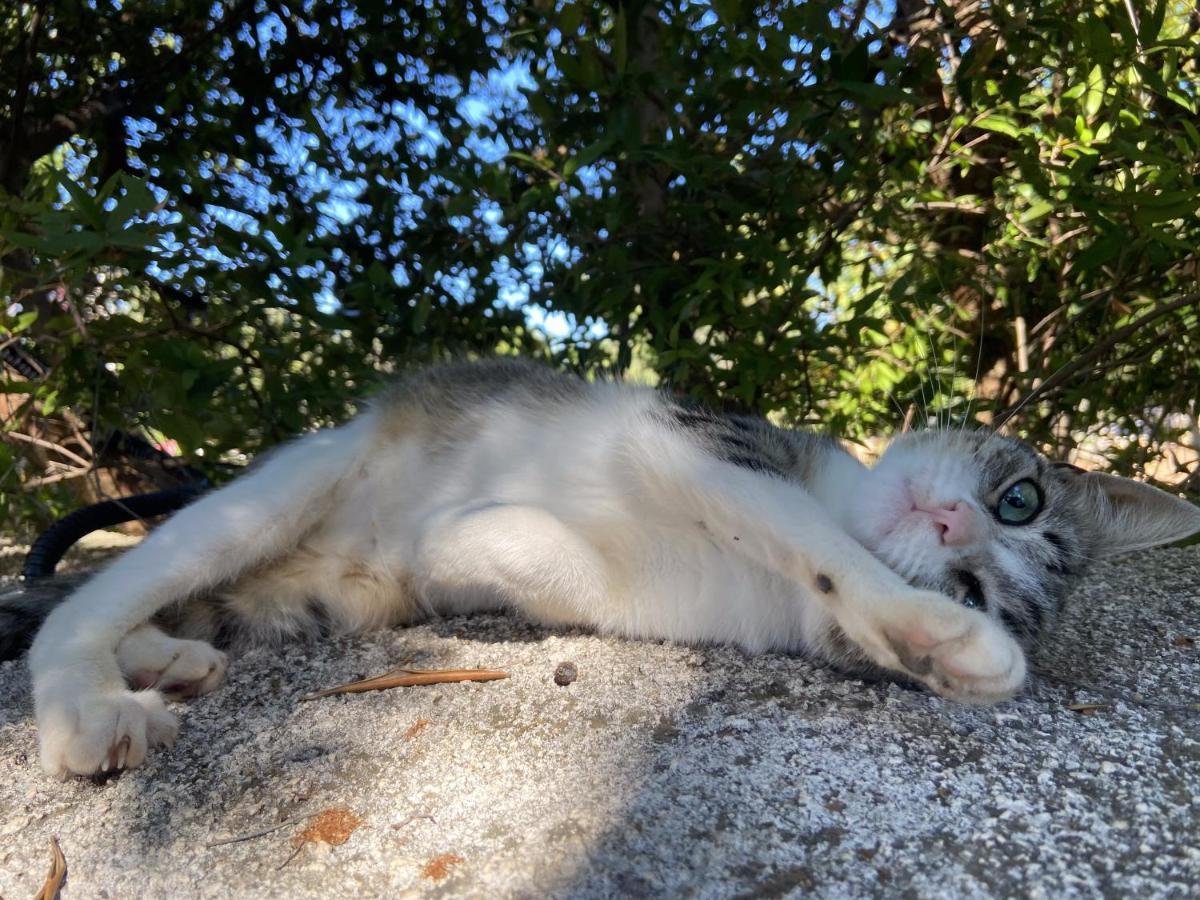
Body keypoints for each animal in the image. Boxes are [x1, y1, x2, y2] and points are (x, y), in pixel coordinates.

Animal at [11, 355, 1200, 777]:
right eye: (1020, 497)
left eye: (980, 582)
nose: (952, 528)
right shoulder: (698, 439)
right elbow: (802, 532)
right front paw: (936, 636)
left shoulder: (676, 596)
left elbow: (542, 565)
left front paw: (468, 538)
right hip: (290, 482)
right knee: (86, 603)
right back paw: (88, 704)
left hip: (312, 590)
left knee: (204, 605)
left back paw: (161, 657)